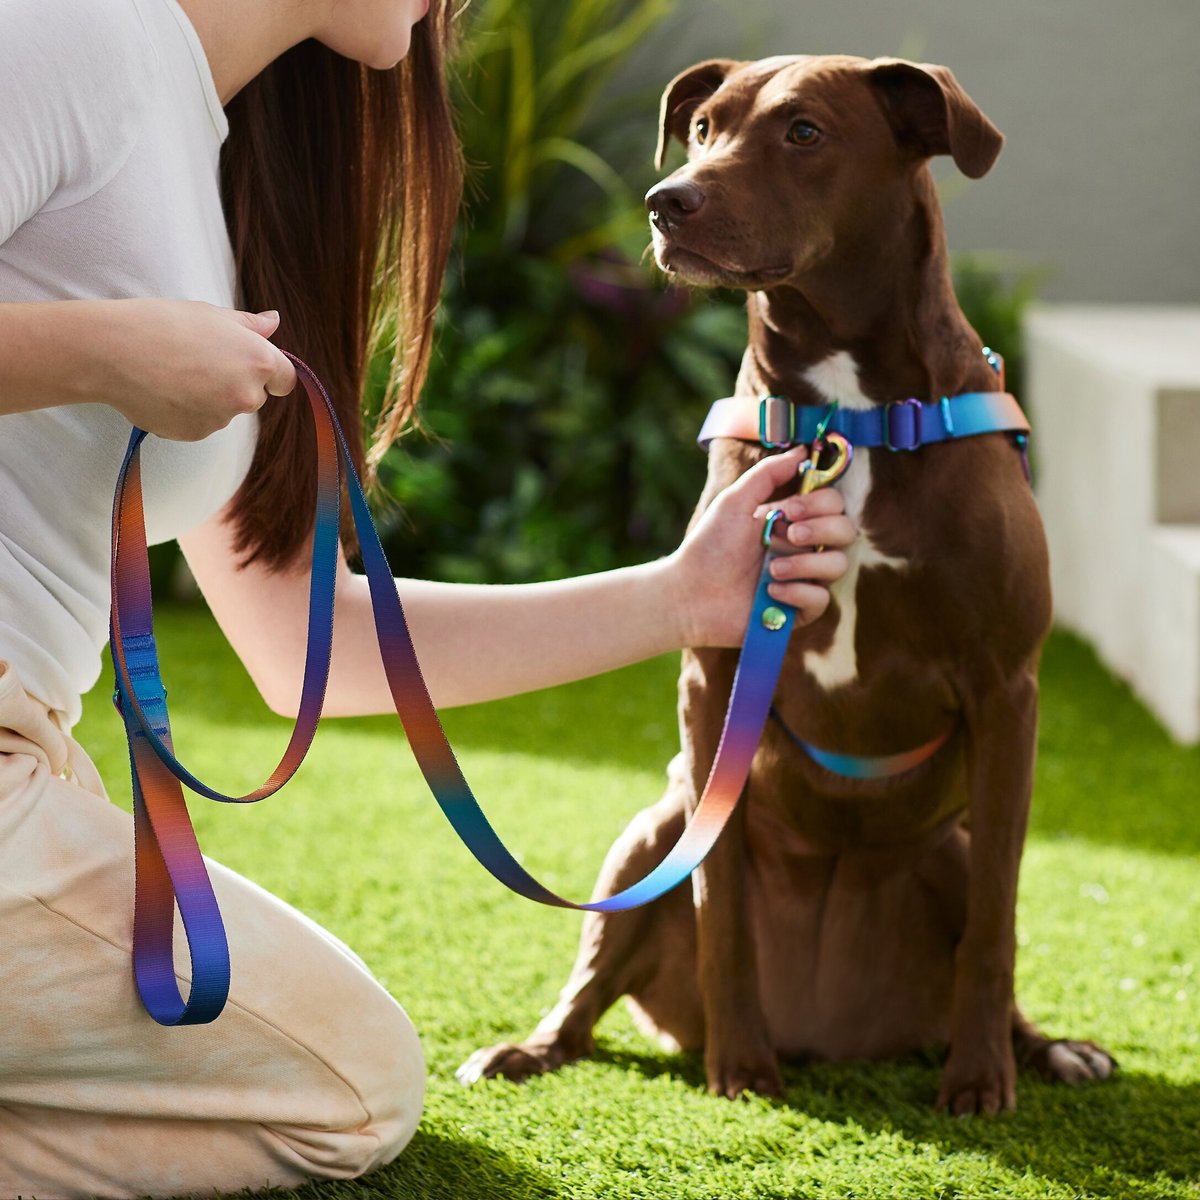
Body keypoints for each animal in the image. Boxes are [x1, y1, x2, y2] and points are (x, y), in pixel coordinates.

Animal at [458, 54, 1113, 1113]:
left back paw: (1045, 1050)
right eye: (703, 128)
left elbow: (997, 924)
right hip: (653, 826)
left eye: (805, 131)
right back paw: (532, 1049)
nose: (666, 202)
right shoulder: (712, 674)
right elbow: (719, 902)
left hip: (949, 845)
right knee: (595, 977)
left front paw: (981, 1079)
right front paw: (738, 1066)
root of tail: (831, 1032)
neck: (850, 417)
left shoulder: (1008, 690)